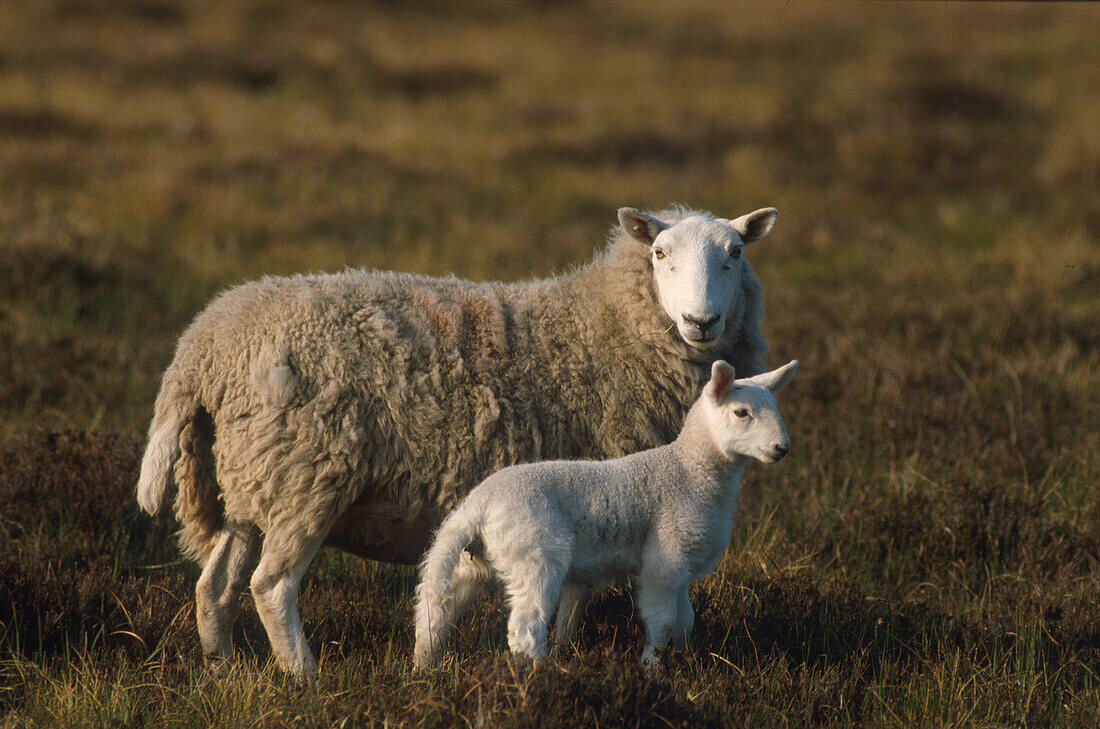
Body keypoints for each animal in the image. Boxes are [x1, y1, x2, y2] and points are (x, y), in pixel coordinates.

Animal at [413, 358, 800, 668]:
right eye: (741, 413)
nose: (782, 448)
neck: (689, 469)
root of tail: (477, 505)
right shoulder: (666, 557)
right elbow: (662, 622)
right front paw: (651, 670)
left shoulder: (683, 566)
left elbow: (686, 621)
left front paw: (684, 663)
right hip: (534, 553)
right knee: (524, 628)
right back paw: (542, 676)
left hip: (472, 562)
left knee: (434, 611)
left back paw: (424, 668)